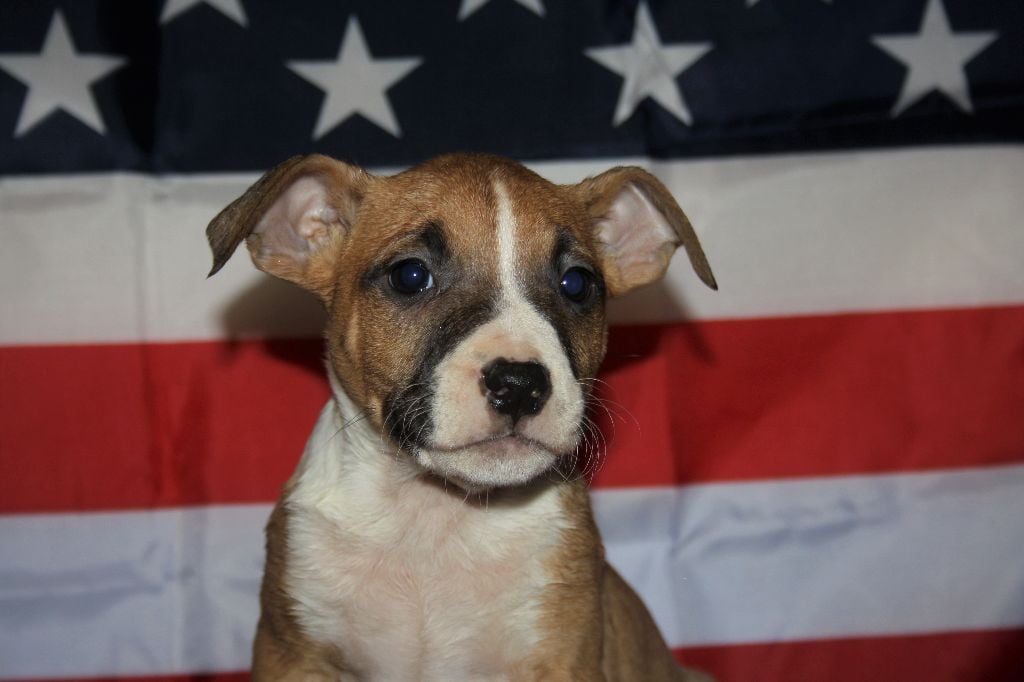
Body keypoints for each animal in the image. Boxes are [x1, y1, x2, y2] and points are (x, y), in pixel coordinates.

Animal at [207, 152, 717, 681]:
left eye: (577, 284)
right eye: (410, 275)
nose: (519, 384)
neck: (432, 519)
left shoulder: (562, 655)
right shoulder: (291, 654)